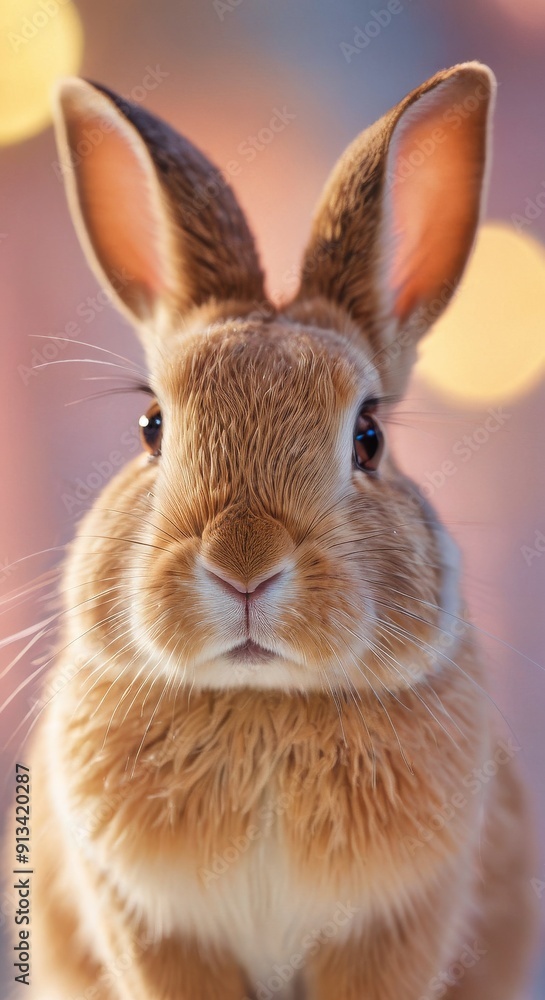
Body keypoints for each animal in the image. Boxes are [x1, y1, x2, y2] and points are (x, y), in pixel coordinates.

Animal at [20, 62, 538, 1000]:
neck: (262, 703)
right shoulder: (152, 928)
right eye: (151, 427)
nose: (244, 566)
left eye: (367, 437)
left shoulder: (393, 930)